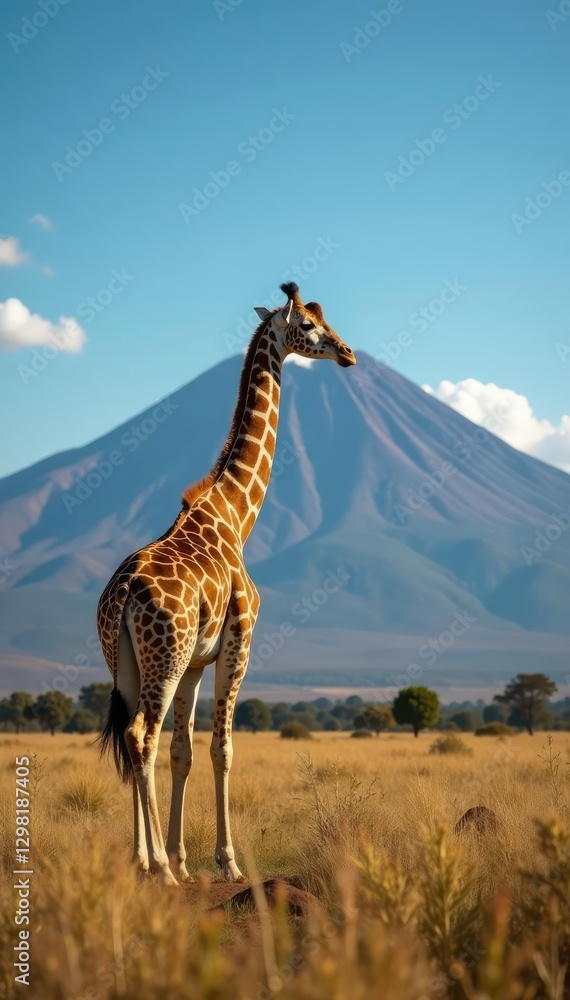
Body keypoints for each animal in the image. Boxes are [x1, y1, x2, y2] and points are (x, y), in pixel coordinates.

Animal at [97, 281, 356, 886]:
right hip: (163, 656)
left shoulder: (197, 661)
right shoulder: (240, 644)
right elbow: (223, 749)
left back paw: (144, 860)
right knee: (140, 735)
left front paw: (183, 858)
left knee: (135, 740)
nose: (348, 353)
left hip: (127, 662)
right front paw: (226, 862)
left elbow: (184, 752)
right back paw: (157, 869)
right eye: (308, 326)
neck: (237, 515)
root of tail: (122, 594)